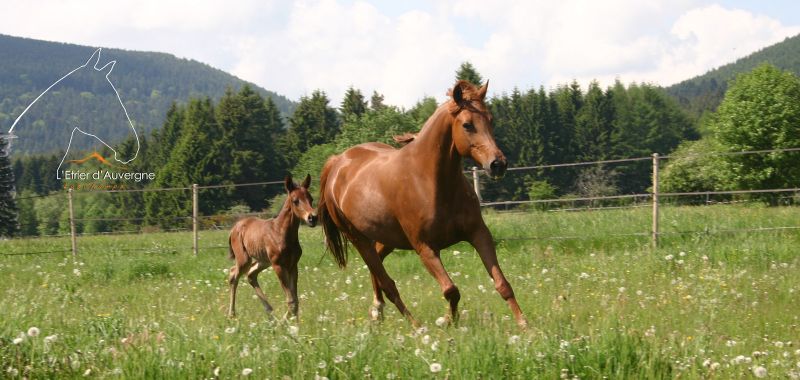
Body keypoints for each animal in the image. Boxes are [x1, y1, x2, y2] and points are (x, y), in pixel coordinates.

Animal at [227, 174, 318, 318]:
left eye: (311, 199)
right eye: (295, 200)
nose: (312, 218)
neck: (280, 232)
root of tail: (233, 229)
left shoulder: (293, 265)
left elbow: (295, 300)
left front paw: (293, 322)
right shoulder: (278, 266)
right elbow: (291, 300)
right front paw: (285, 321)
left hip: (263, 261)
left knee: (251, 274)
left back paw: (270, 313)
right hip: (244, 259)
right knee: (233, 274)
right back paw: (232, 314)